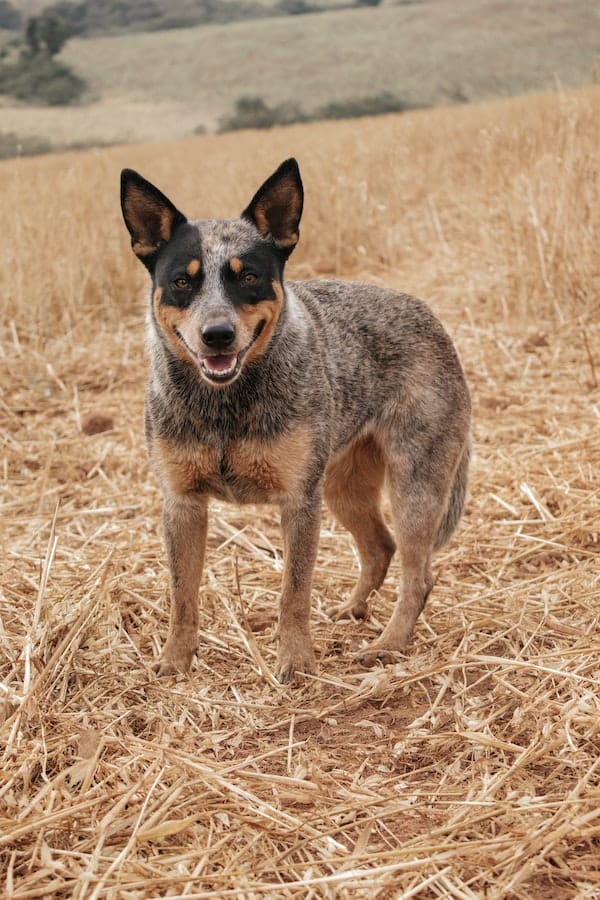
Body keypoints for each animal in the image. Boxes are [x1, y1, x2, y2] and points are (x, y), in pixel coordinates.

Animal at [120, 160, 468, 684]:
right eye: (182, 281)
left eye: (249, 277)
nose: (217, 335)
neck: (227, 406)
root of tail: (430, 316)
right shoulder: (181, 504)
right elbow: (182, 595)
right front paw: (175, 660)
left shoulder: (299, 501)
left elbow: (294, 592)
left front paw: (297, 660)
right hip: (343, 487)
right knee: (379, 548)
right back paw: (353, 610)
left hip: (414, 486)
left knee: (419, 575)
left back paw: (388, 644)